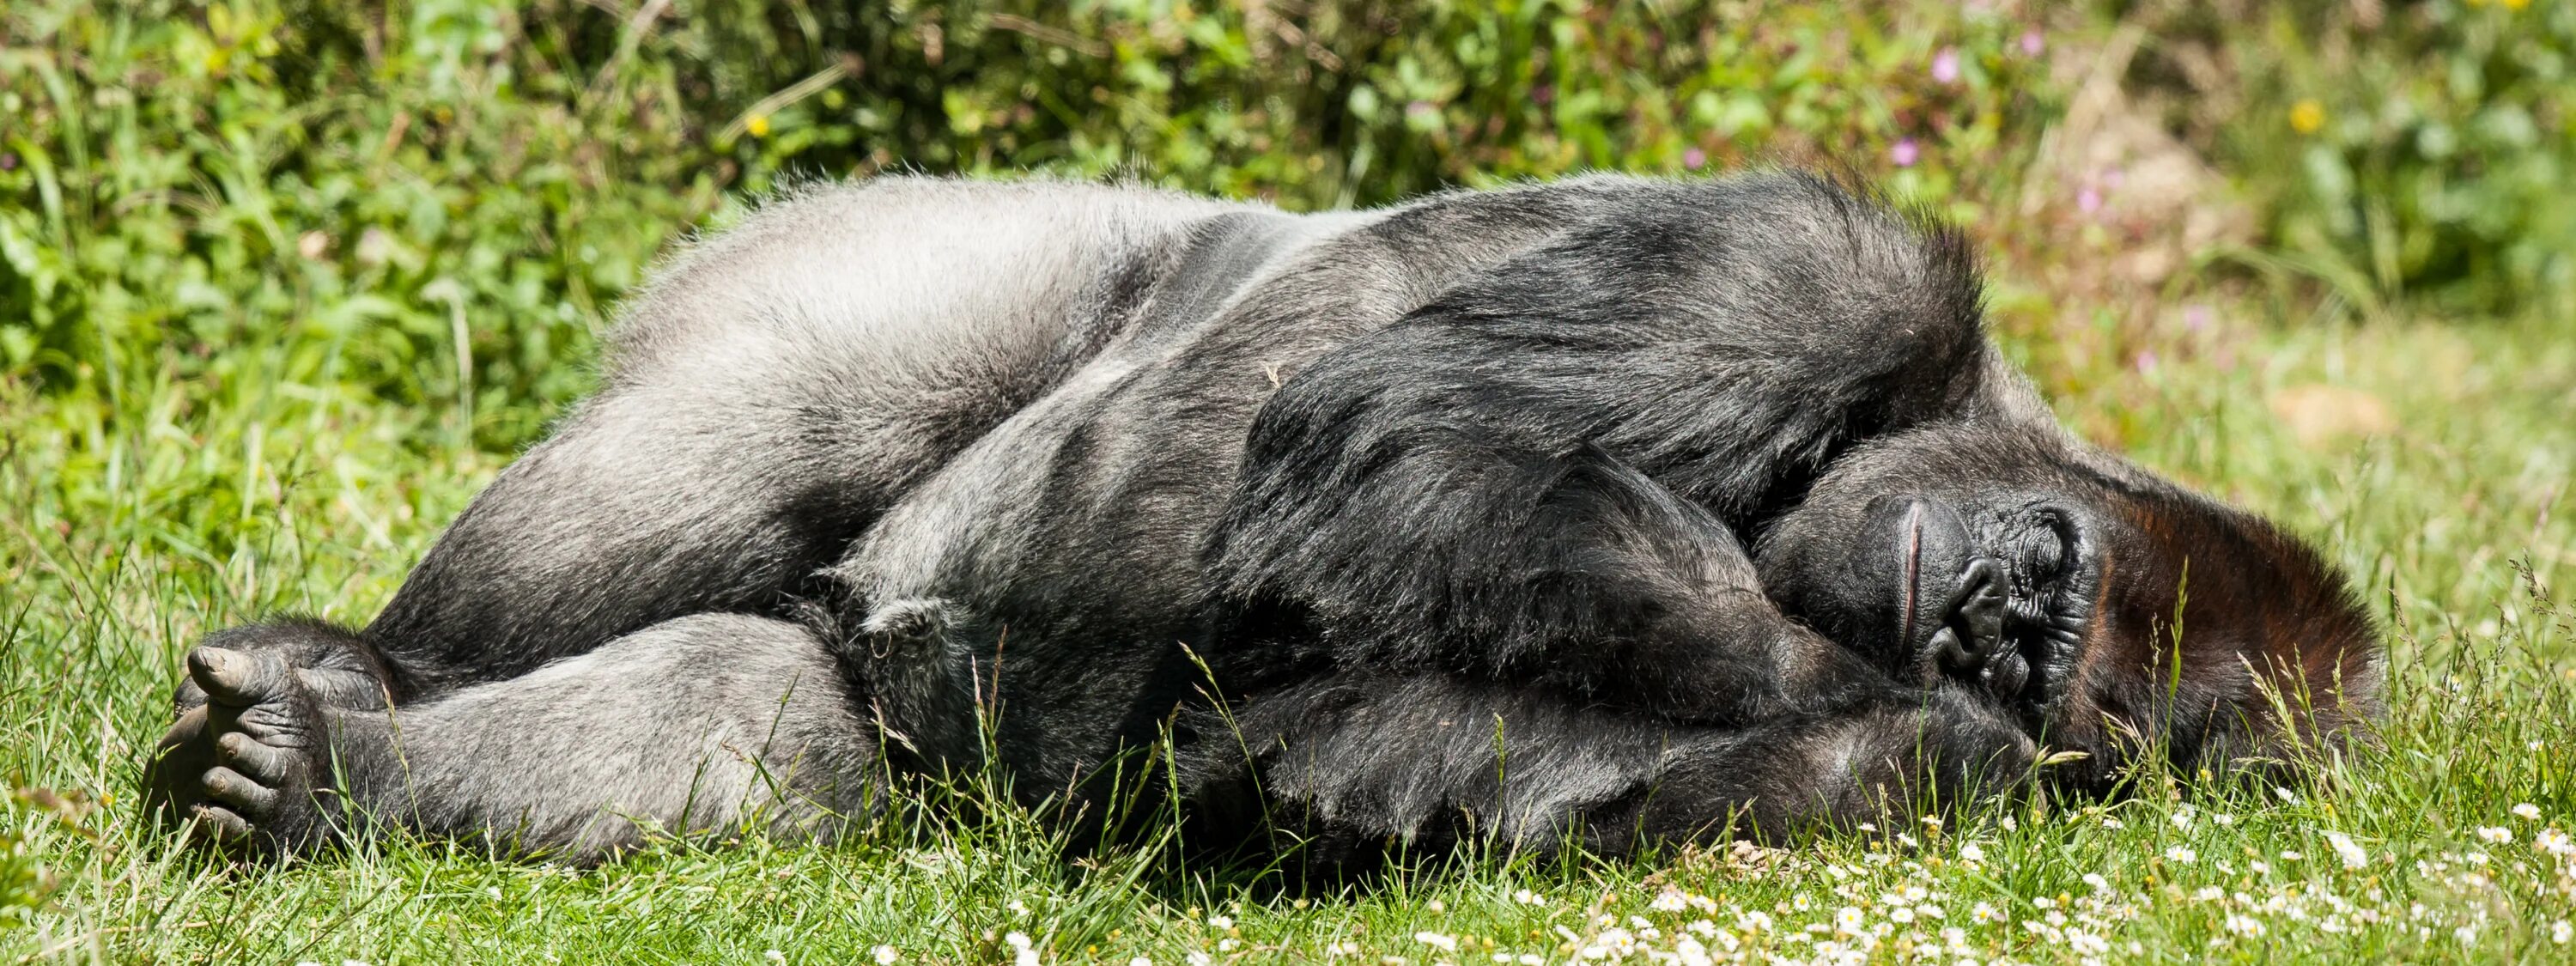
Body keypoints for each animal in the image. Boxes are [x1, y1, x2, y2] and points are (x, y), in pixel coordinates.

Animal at [141, 173, 2370, 860]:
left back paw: (326, 776)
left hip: (869, 694)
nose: (1987, 625)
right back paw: (372, 662)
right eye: (2045, 573)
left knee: (758, 729)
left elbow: (1356, 757)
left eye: (2057, 656)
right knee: (759, 432)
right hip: (915, 243)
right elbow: (1400, 425)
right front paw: (1813, 649)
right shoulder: (1828, 272)